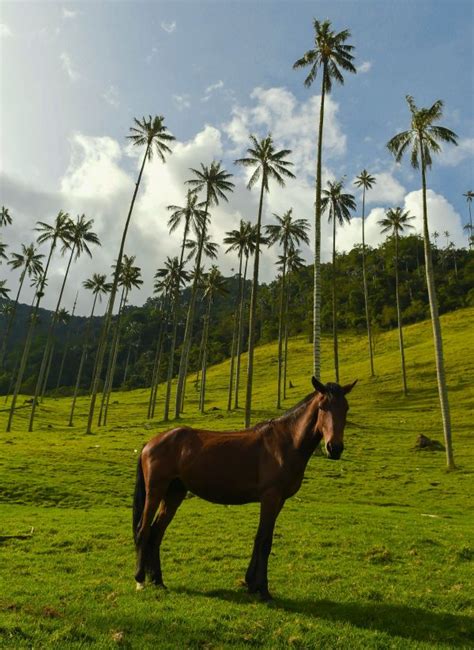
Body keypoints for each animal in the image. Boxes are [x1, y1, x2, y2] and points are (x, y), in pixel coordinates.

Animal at [132, 374, 356, 596]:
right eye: (323, 407)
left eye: (345, 408)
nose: (334, 448)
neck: (286, 442)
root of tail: (151, 443)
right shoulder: (270, 497)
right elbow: (264, 540)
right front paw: (262, 589)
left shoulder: (279, 500)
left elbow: (262, 538)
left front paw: (251, 583)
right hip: (156, 491)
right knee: (144, 529)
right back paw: (140, 579)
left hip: (174, 493)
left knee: (156, 532)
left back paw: (158, 580)